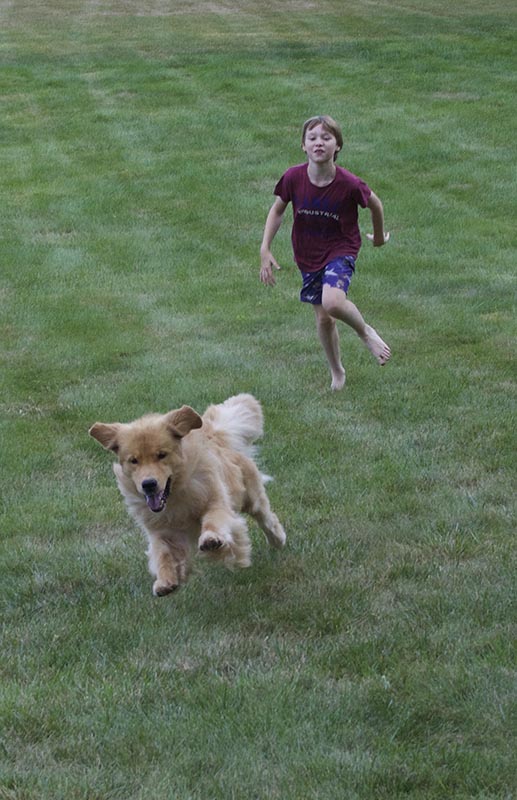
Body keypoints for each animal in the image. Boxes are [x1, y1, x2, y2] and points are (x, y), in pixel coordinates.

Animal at [89, 393, 286, 596]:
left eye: (161, 455)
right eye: (134, 460)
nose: (148, 484)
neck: (174, 497)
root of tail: (215, 438)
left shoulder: (216, 502)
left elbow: (214, 521)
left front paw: (211, 540)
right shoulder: (160, 530)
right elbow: (162, 553)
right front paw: (165, 581)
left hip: (252, 497)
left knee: (267, 518)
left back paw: (277, 539)